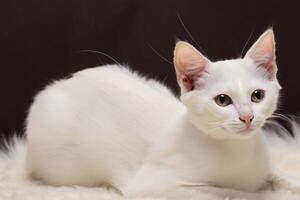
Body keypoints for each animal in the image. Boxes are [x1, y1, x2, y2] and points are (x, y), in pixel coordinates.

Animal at [25, 28, 298, 198]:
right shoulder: (151, 186)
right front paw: (258, 192)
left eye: (257, 96)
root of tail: (59, 84)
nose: (247, 117)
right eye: (222, 100)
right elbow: (222, 191)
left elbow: (276, 175)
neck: (236, 151)